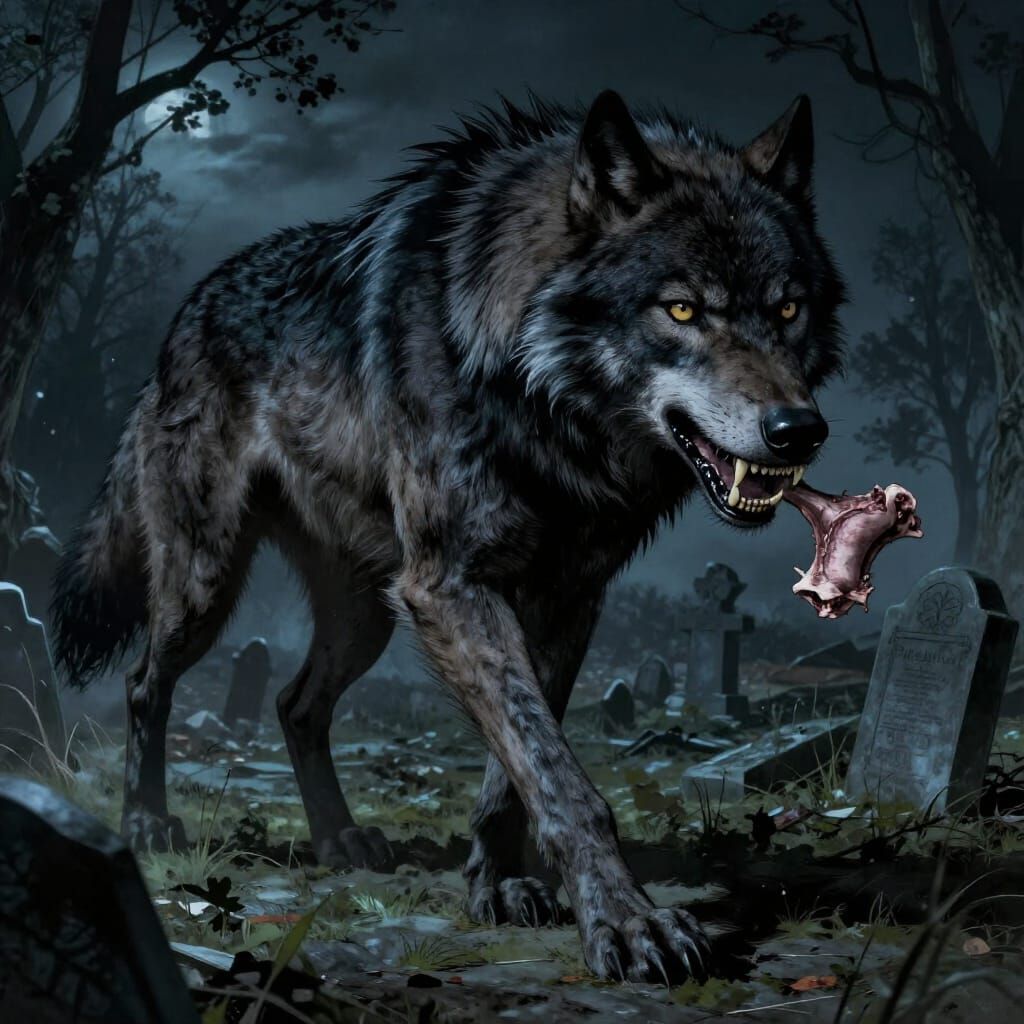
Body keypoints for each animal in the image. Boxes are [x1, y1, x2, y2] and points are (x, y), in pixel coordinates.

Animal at [53, 90, 844, 982]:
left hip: (365, 616)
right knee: (144, 682)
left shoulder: (566, 597)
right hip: (207, 583)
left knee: (295, 704)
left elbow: (516, 771)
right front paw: (628, 922)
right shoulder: (453, 587)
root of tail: (181, 319)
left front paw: (498, 887)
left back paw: (340, 838)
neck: (538, 400)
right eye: (682, 310)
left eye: (787, 309)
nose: (798, 431)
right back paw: (146, 822)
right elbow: (558, 776)